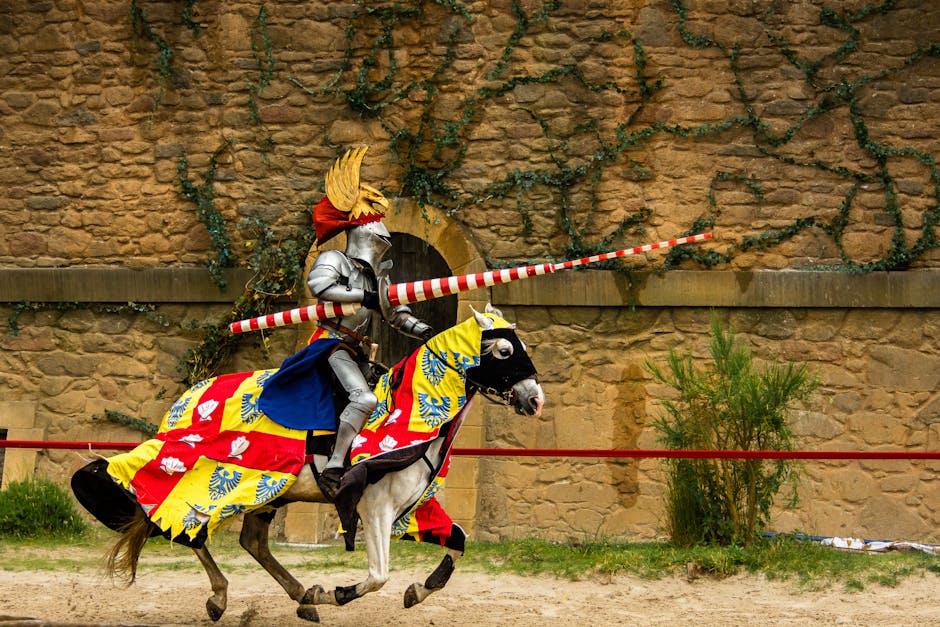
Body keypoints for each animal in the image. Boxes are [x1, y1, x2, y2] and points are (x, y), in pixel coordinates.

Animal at [71, 305, 544, 623]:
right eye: (505, 350)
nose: (535, 399)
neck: (406, 410)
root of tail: (187, 401)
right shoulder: (374, 509)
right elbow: (378, 576)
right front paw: (337, 593)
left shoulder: (414, 509)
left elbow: (457, 541)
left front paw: (418, 590)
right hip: (213, 480)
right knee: (183, 525)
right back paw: (221, 597)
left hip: (266, 494)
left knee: (251, 543)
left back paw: (301, 596)